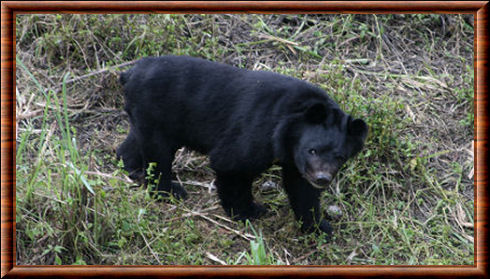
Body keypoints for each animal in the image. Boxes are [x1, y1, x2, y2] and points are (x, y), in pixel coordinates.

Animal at [116, 55, 368, 238]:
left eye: (340, 157)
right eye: (312, 150)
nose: (322, 179)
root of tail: (130, 73)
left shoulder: (296, 160)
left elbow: (302, 189)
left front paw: (319, 228)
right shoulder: (259, 130)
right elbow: (232, 164)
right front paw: (249, 212)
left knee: (137, 143)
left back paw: (132, 169)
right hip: (156, 114)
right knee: (158, 154)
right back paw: (169, 191)